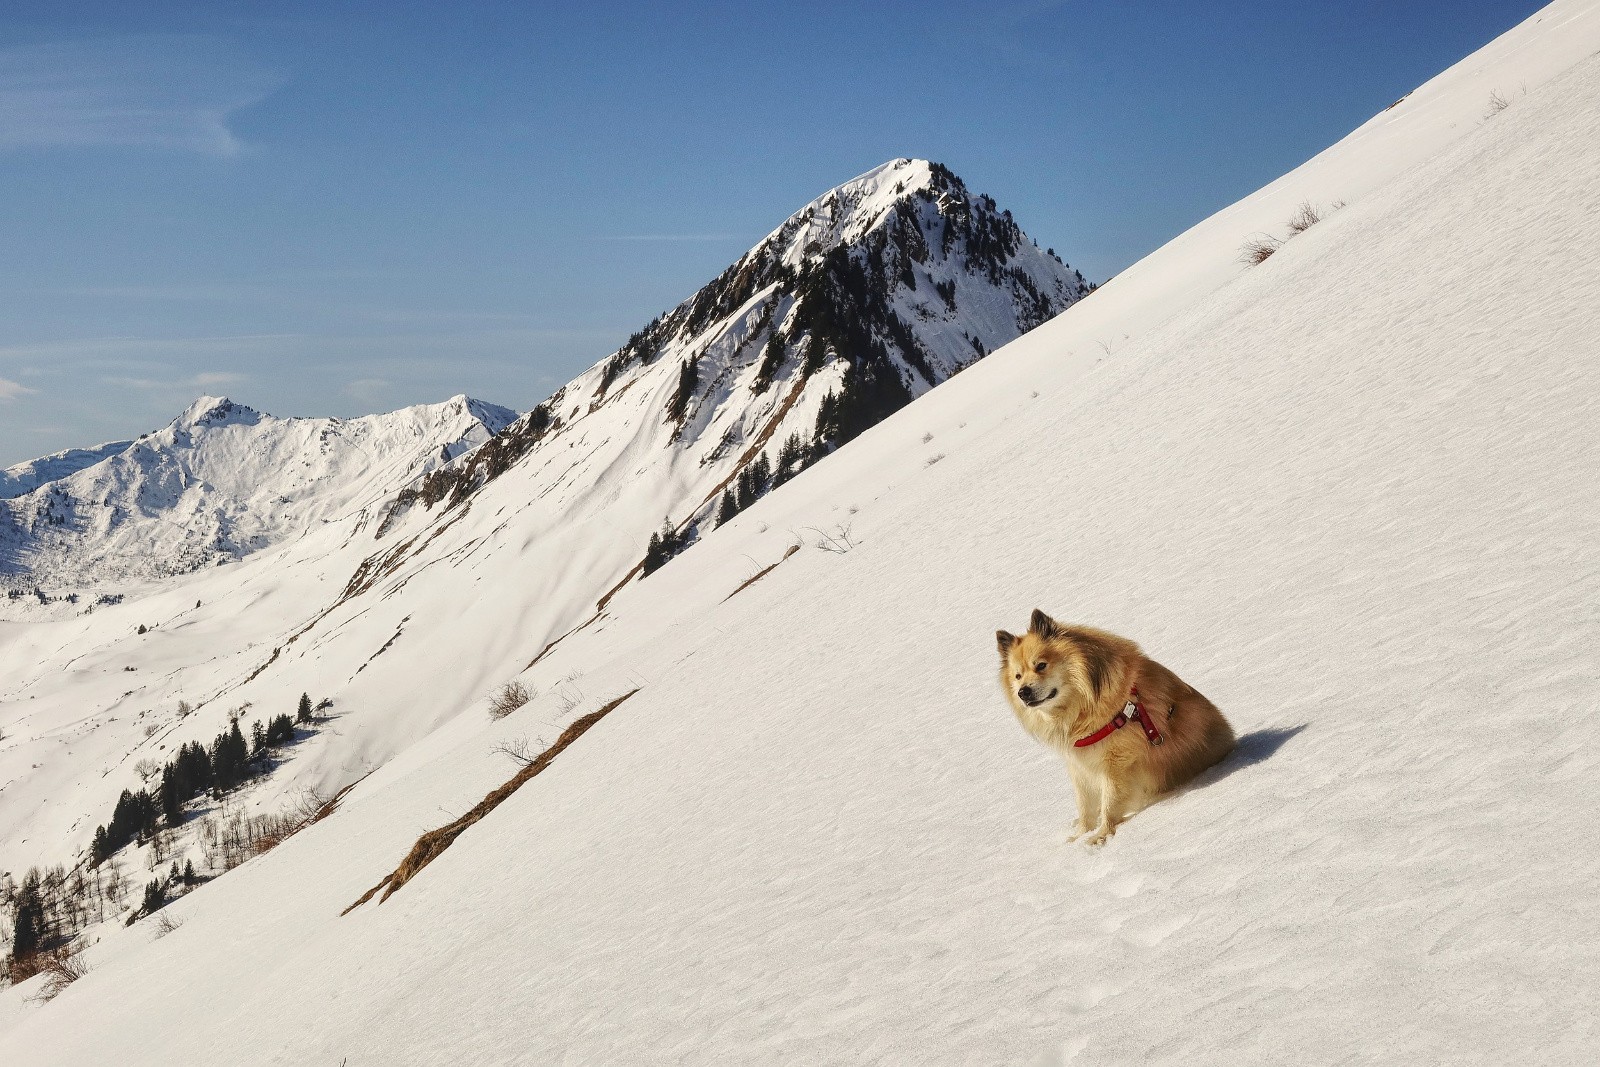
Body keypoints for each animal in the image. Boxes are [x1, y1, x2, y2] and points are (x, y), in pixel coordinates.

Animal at [992, 614, 1228, 844]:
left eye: (1041, 665)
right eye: (1018, 676)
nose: (1023, 692)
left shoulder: (1116, 763)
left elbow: (1110, 802)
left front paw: (1102, 836)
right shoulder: (1080, 767)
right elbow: (1085, 806)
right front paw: (1079, 836)